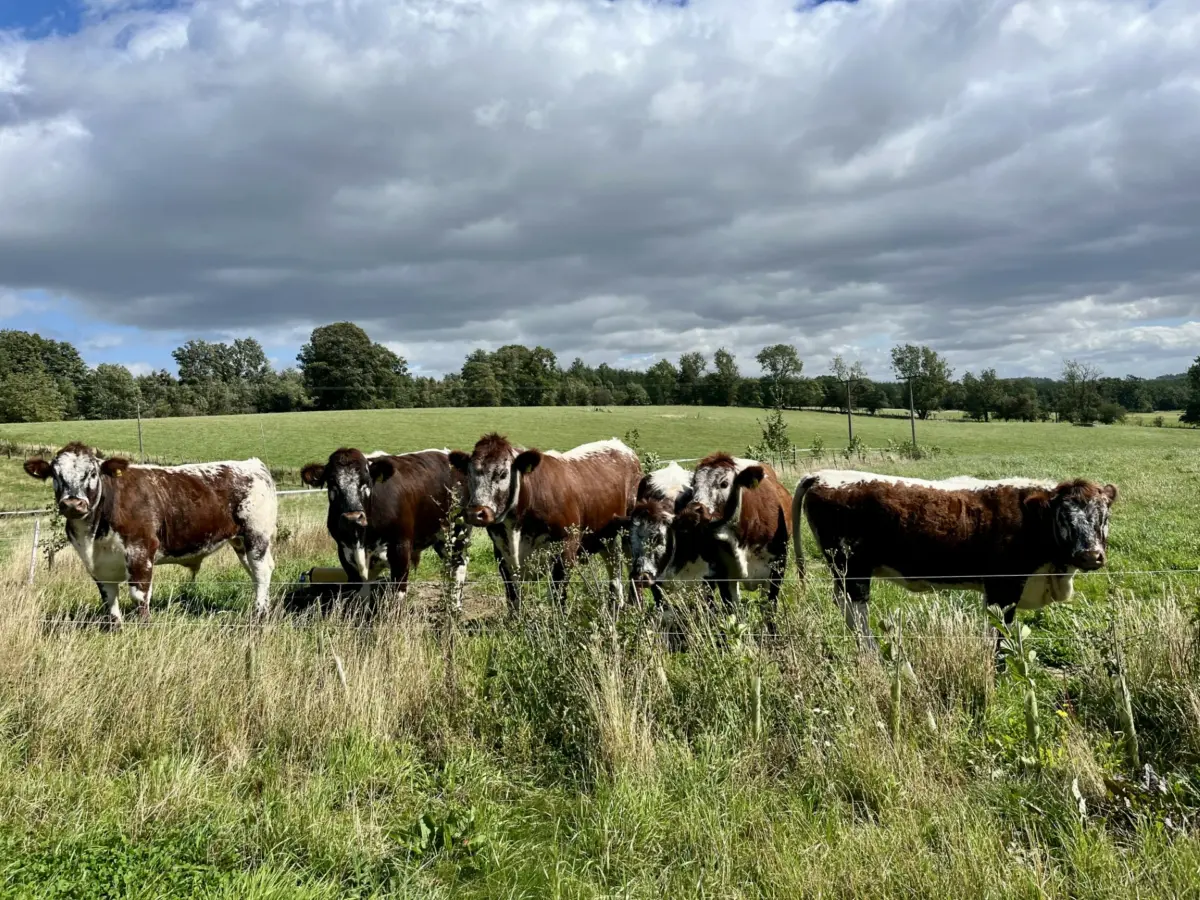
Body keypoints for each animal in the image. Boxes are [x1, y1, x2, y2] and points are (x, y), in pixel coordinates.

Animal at [24, 443, 277, 626]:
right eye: (55, 474)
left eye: (93, 473)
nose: (72, 503)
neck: (93, 536)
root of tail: (252, 464)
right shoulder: (97, 564)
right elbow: (109, 598)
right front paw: (116, 629)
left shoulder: (140, 551)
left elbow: (139, 595)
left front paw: (144, 627)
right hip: (240, 541)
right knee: (255, 573)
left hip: (256, 536)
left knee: (262, 572)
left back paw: (259, 615)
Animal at [299, 447, 471, 610]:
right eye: (332, 482)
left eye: (366, 481)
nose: (353, 518)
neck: (361, 539)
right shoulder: (345, 554)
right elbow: (361, 594)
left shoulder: (400, 550)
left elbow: (398, 594)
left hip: (459, 531)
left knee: (458, 566)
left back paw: (455, 606)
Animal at [449, 434, 642, 614]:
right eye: (468, 474)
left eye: (503, 473)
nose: (476, 514)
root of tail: (622, 447)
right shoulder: (502, 553)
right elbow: (513, 596)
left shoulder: (566, 549)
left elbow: (558, 595)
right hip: (604, 536)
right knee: (614, 563)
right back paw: (616, 603)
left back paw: (635, 605)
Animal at [674, 452, 793, 632]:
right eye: (694, 484)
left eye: (724, 483)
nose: (689, 514)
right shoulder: (722, 574)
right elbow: (733, 612)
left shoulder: (777, 569)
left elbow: (769, 610)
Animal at [790, 469, 1119, 653]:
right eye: (1063, 518)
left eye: (1104, 517)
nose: (1090, 555)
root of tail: (822, 475)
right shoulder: (1003, 588)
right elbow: (998, 634)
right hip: (853, 570)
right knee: (857, 612)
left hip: (844, 571)